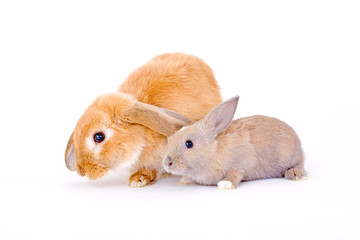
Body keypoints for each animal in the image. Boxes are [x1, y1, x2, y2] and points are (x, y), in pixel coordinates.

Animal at [164, 96, 306, 190]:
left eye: (189, 144)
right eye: (169, 140)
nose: (167, 163)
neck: (214, 151)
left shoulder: (240, 164)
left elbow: (235, 175)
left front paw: (225, 185)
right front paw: (184, 181)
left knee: (300, 163)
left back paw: (295, 174)